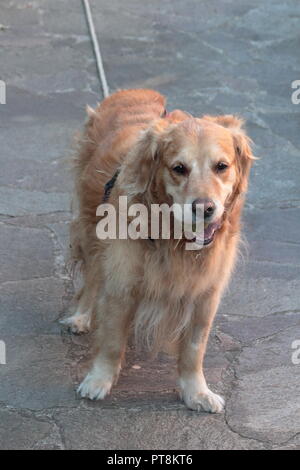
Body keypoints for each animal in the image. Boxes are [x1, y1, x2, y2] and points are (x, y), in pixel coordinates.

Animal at [63, 88, 255, 412]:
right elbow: (112, 340)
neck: (173, 237)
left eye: (221, 166)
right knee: (92, 277)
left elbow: (194, 348)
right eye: (179, 168)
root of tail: (135, 90)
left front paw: (196, 392)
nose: (205, 208)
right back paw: (81, 316)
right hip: (91, 229)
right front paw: (99, 380)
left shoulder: (206, 293)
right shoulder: (123, 280)